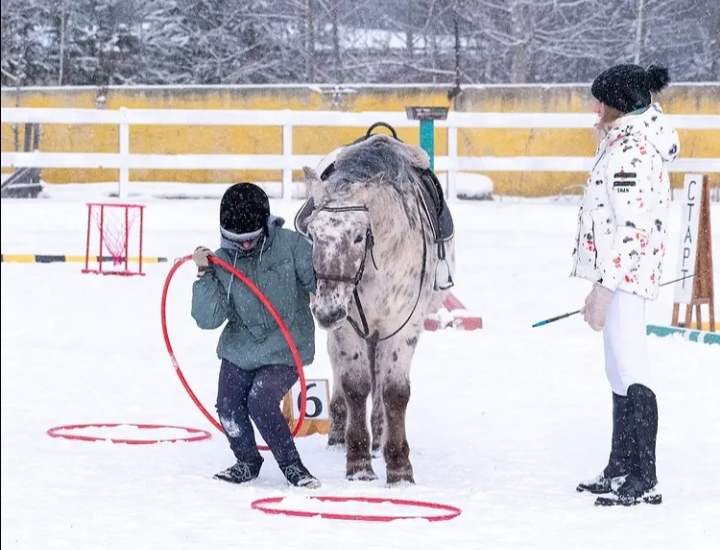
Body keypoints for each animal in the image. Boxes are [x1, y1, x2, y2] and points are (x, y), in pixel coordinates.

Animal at [296, 129, 455, 485]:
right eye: (311, 233)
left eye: (358, 236)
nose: (326, 313)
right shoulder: (347, 324)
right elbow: (355, 386)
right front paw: (358, 463)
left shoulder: (402, 324)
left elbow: (394, 391)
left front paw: (398, 467)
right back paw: (340, 432)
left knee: (380, 377)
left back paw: (380, 436)